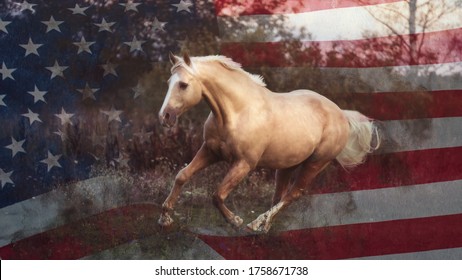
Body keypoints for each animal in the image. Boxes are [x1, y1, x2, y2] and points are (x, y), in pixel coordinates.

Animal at [157, 52, 378, 232]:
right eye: (168, 82)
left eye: (183, 84)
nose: (164, 117)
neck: (237, 112)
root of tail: (341, 114)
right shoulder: (210, 151)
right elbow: (182, 176)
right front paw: (165, 219)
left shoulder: (244, 163)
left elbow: (217, 195)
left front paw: (235, 221)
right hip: (288, 165)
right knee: (279, 195)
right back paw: (264, 227)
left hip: (315, 164)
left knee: (293, 195)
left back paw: (255, 224)